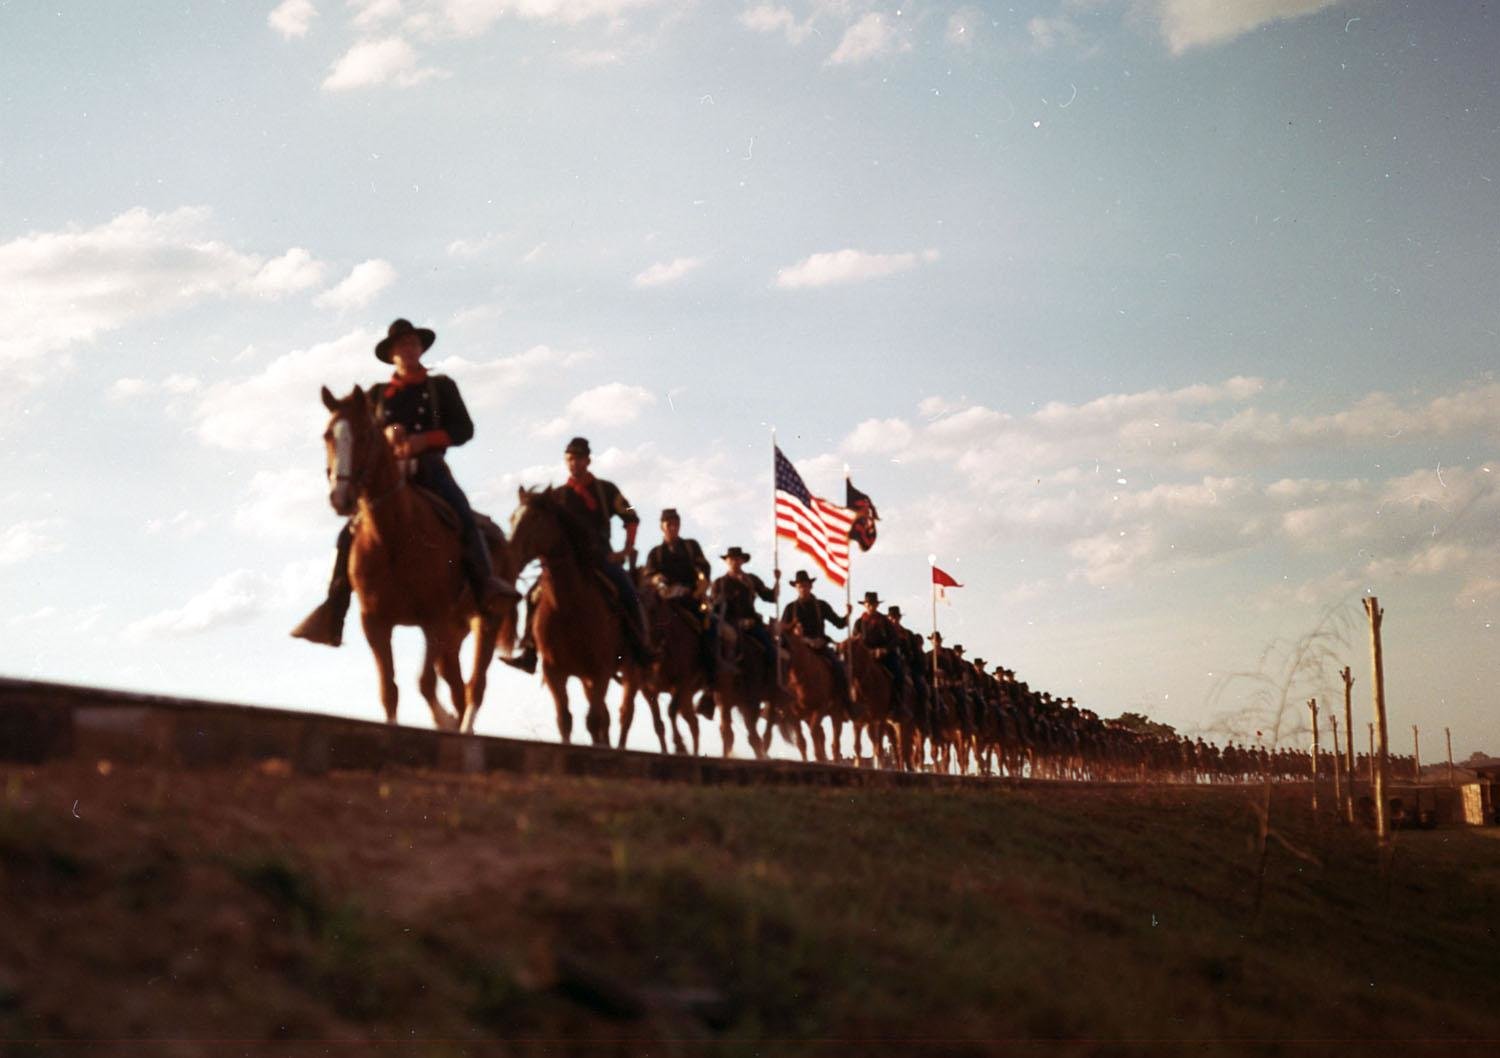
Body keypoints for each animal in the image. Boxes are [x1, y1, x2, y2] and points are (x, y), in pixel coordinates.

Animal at [316, 384, 516, 729]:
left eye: (365, 434)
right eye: (328, 434)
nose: (340, 498)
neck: (392, 538)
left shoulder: (432, 618)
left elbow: (424, 683)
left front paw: (444, 721)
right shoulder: (375, 623)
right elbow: (389, 690)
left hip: (485, 621)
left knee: (474, 687)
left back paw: (462, 725)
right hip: (454, 633)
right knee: (456, 685)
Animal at [510, 486, 639, 744]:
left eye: (535, 518)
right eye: (512, 518)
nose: (510, 554)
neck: (568, 608)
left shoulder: (599, 670)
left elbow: (594, 721)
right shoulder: (554, 672)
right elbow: (565, 720)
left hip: (629, 669)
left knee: (624, 715)